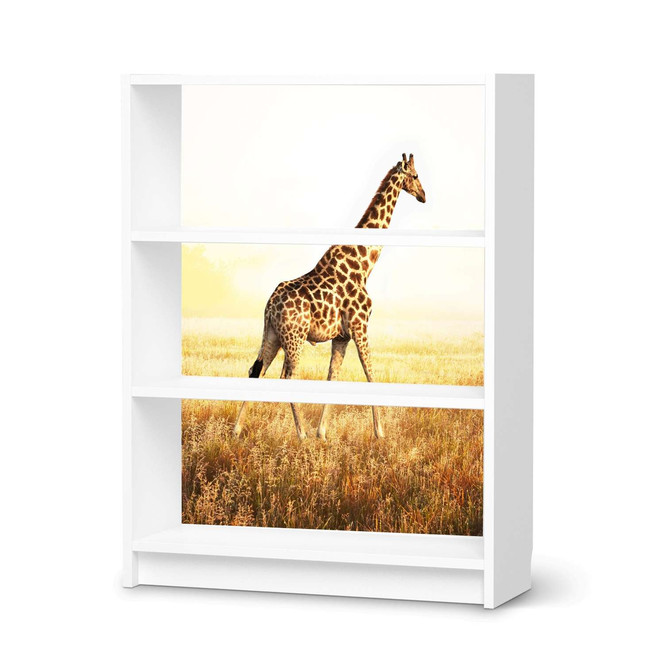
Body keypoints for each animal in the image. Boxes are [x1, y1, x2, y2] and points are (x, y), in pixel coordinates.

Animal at [233, 153, 426, 441]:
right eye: (415, 176)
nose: (423, 195)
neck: (364, 263)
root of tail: (269, 306)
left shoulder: (342, 335)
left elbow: (332, 377)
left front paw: (322, 432)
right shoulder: (360, 326)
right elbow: (370, 374)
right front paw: (380, 433)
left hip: (272, 335)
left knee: (256, 371)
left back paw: (237, 429)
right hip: (295, 337)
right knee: (287, 377)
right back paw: (300, 434)